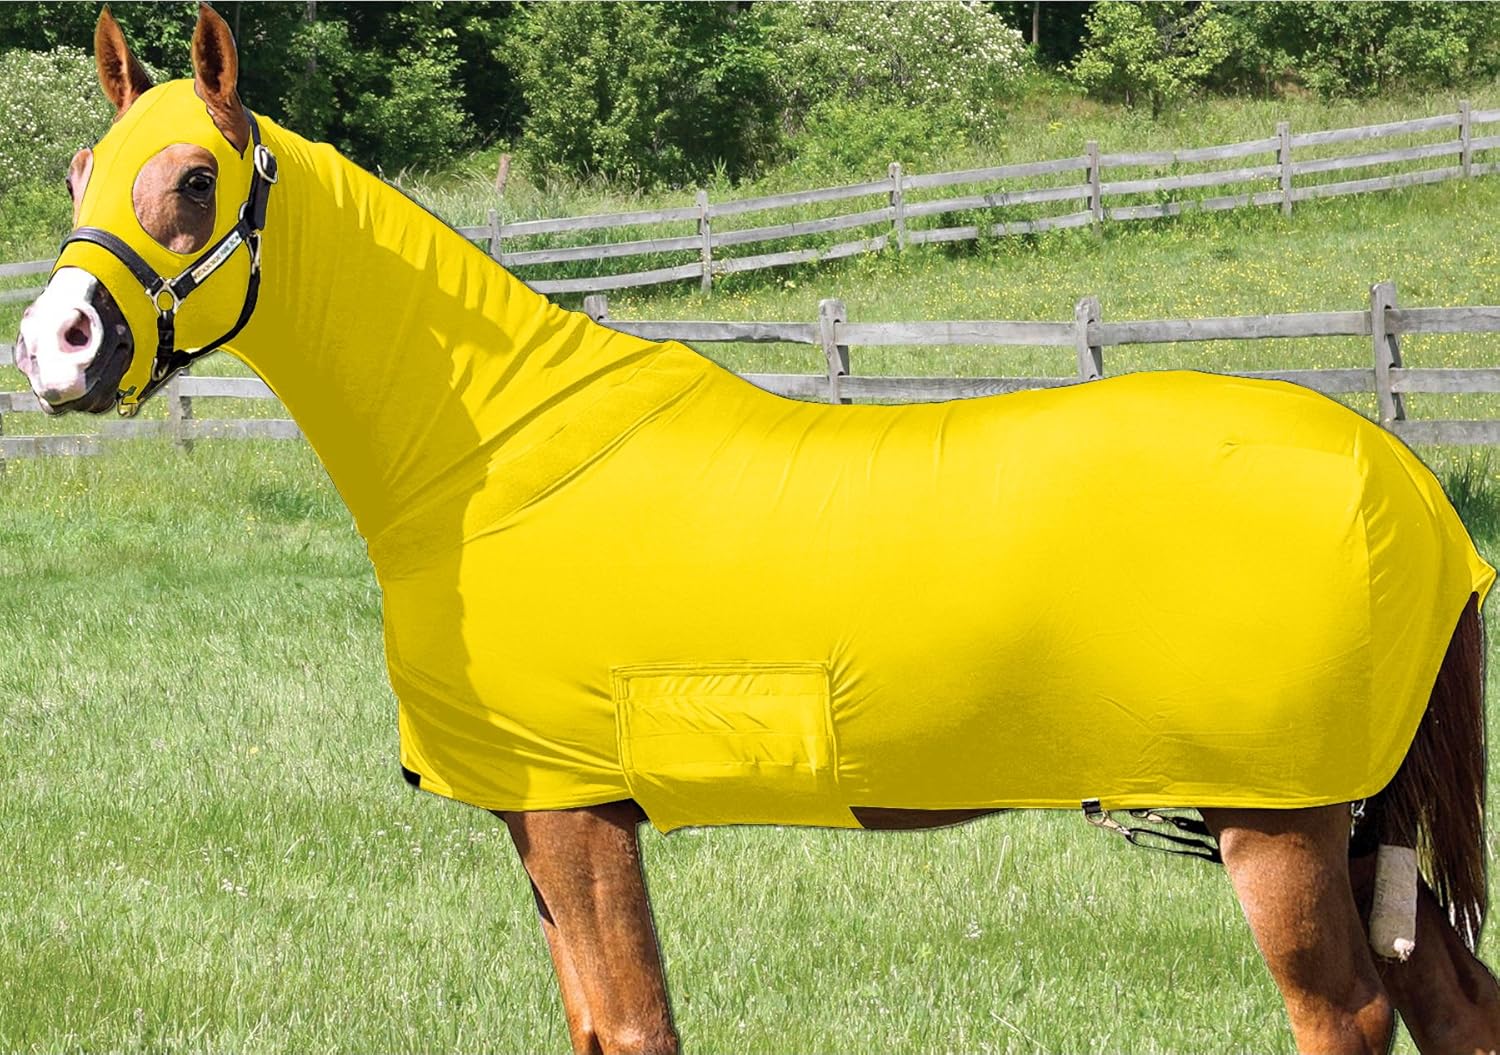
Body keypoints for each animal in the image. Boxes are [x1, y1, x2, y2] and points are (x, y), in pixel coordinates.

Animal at [14, 8, 1500, 1052]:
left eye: (193, 179)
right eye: (86, 166)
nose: (54, 347)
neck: (492, 452)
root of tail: (1404, 481)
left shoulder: (576, 815)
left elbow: (631, 1024)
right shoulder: (539, 821)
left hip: (1279, 823)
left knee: (1349, 1015)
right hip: (1348, 818)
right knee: (1456, 1002)